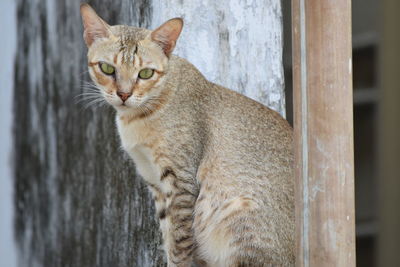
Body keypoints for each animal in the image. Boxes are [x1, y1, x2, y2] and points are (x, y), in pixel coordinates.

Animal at [80, 4, 294, 267]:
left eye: (146, 73)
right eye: (108, 68)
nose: (123, 94)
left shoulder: (181, 180)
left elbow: (179, 243)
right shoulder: (156, 183)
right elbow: (168, 236)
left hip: (237, 212)